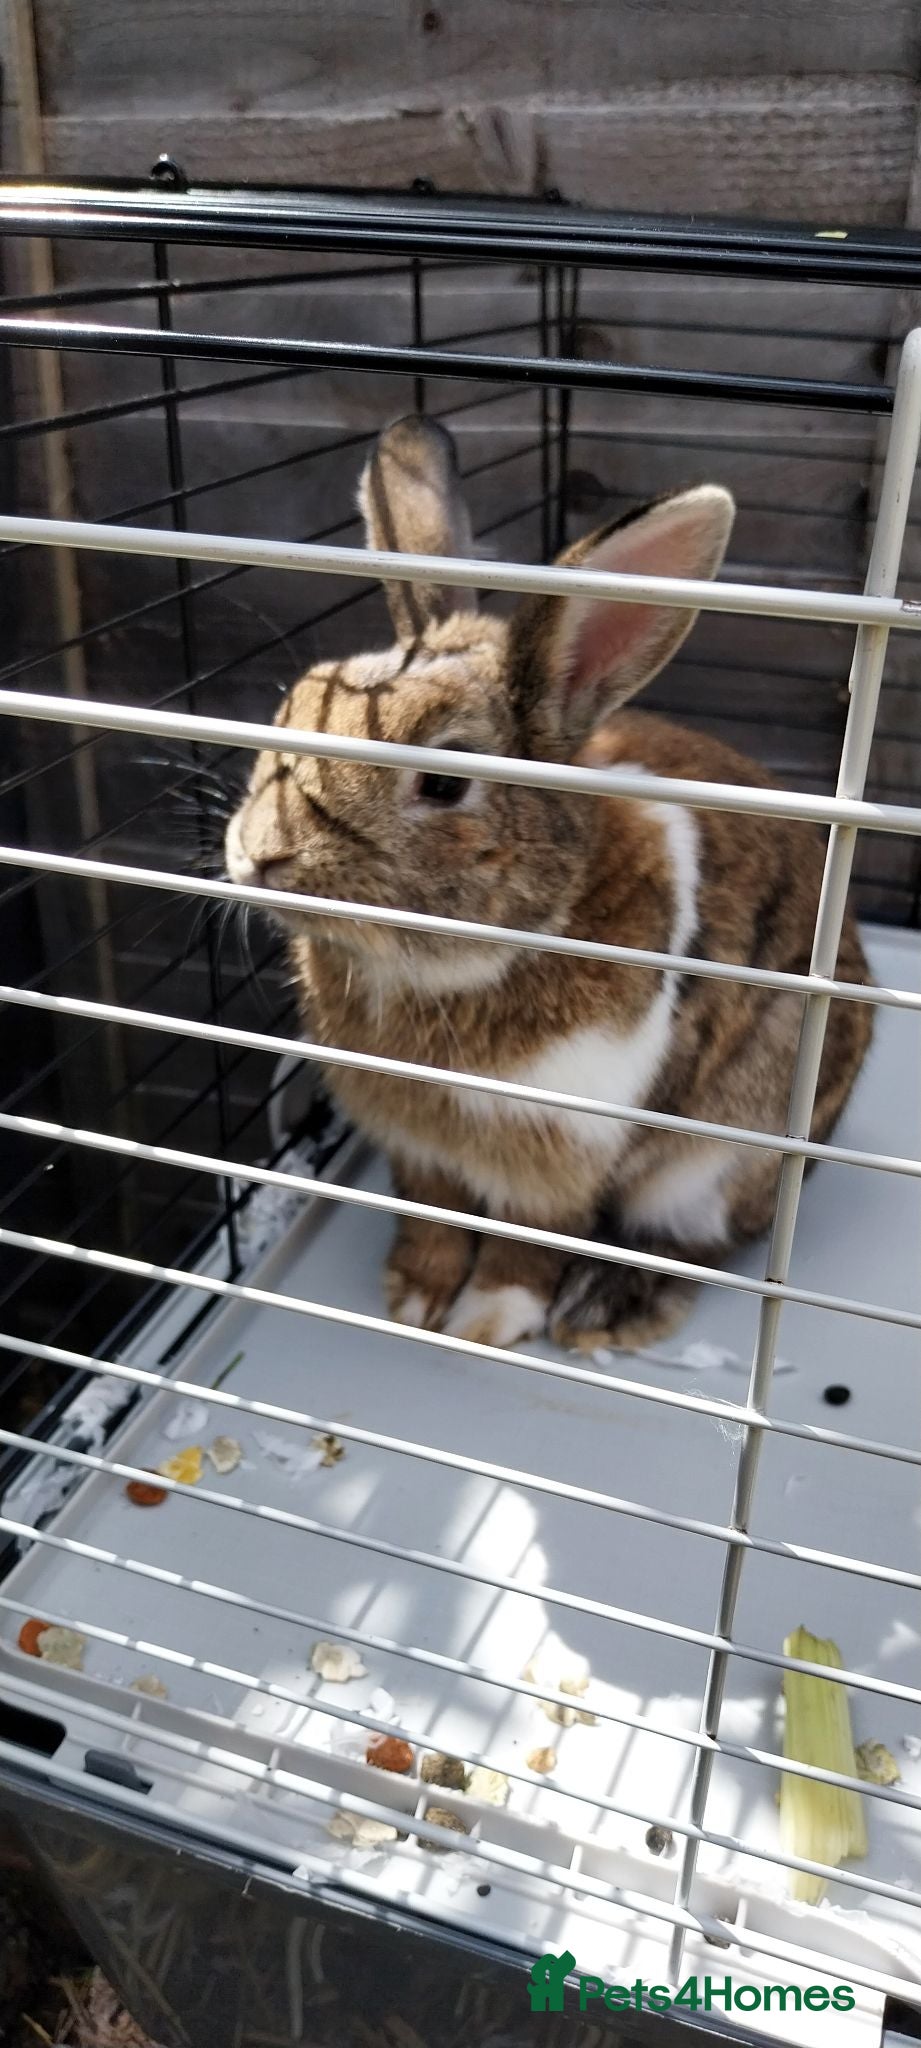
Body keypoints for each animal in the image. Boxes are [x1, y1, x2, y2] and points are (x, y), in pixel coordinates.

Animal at [225, 415, 873, 1356]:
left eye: (444, 782)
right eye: (294, 707)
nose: (260, 854)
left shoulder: (563, 1151)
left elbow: (532, 1242)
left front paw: (488, 1321)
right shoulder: (419, 1148)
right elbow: (433, 1217)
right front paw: (414, 1298)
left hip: (716, 1160)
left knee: (702, 1240)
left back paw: (606, 1309)